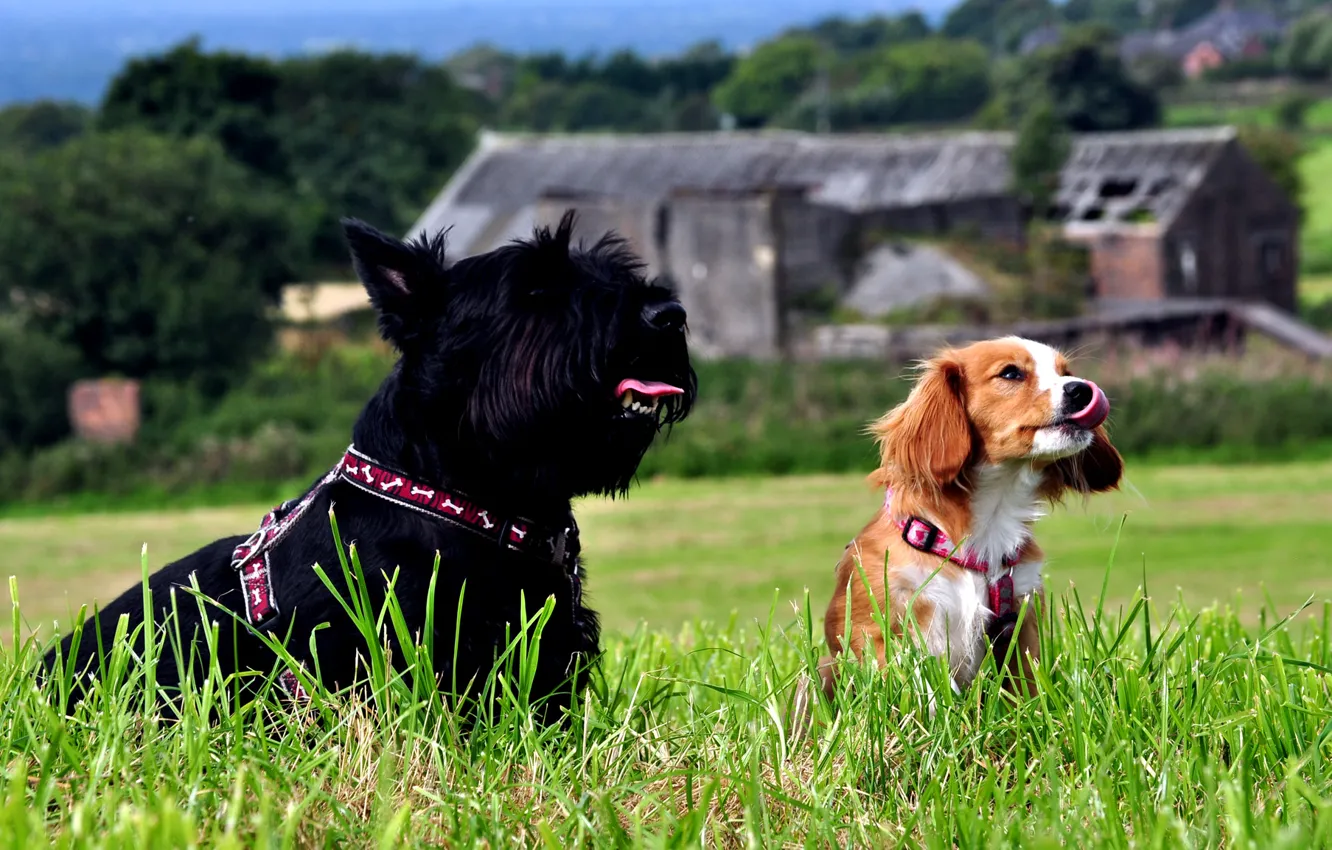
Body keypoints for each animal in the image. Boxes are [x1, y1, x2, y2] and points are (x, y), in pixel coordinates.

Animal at [804, 335, 1118, 714]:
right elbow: (915, 688)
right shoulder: (881, 624)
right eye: (1011, 373)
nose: (1082, 389)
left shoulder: (1020, 619)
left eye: (1065, 371)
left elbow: (1025, 688)